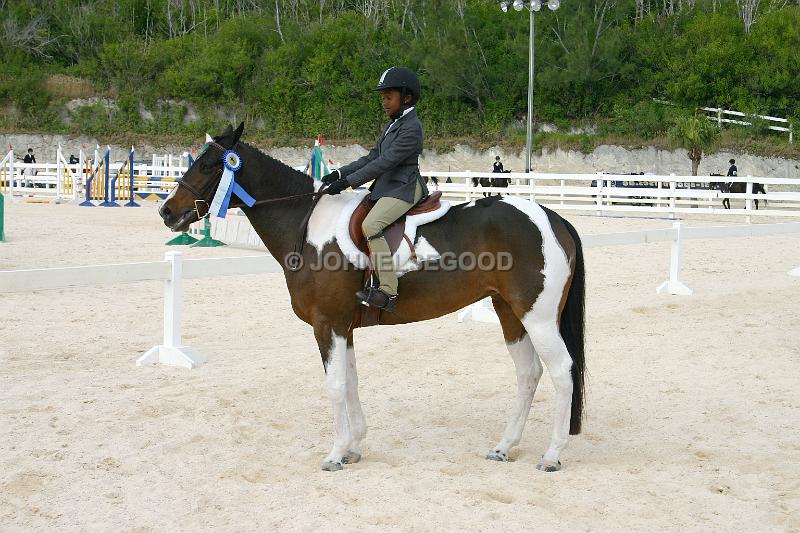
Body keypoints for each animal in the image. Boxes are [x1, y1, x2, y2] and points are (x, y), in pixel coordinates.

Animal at [159, 123, 584, 470]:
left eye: (209, 166)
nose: (167, 212)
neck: (307, 227)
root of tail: (552, 216)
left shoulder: (327, 324)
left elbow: (335, 385)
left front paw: (335, 453)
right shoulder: (343, 326)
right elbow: (351, 381)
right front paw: (353, 447)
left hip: (538, 318)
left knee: (562, 372)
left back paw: (552, 455)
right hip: (510, 313)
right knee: (528, 374)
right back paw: (504, 446)